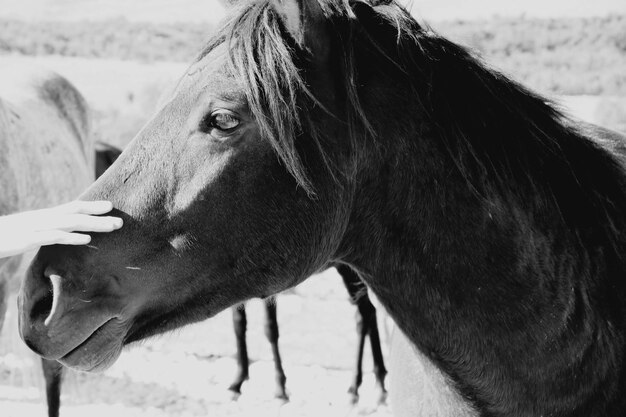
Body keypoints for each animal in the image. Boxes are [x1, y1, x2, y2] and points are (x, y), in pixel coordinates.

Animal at [229, 264, 386, 402]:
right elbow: (239, 325)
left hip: (349, 270)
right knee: (369, 311)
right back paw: (379, 380)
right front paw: (238, 380)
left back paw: (355, 386)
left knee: (365, 312)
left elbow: (270, 329)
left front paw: (280, 388)